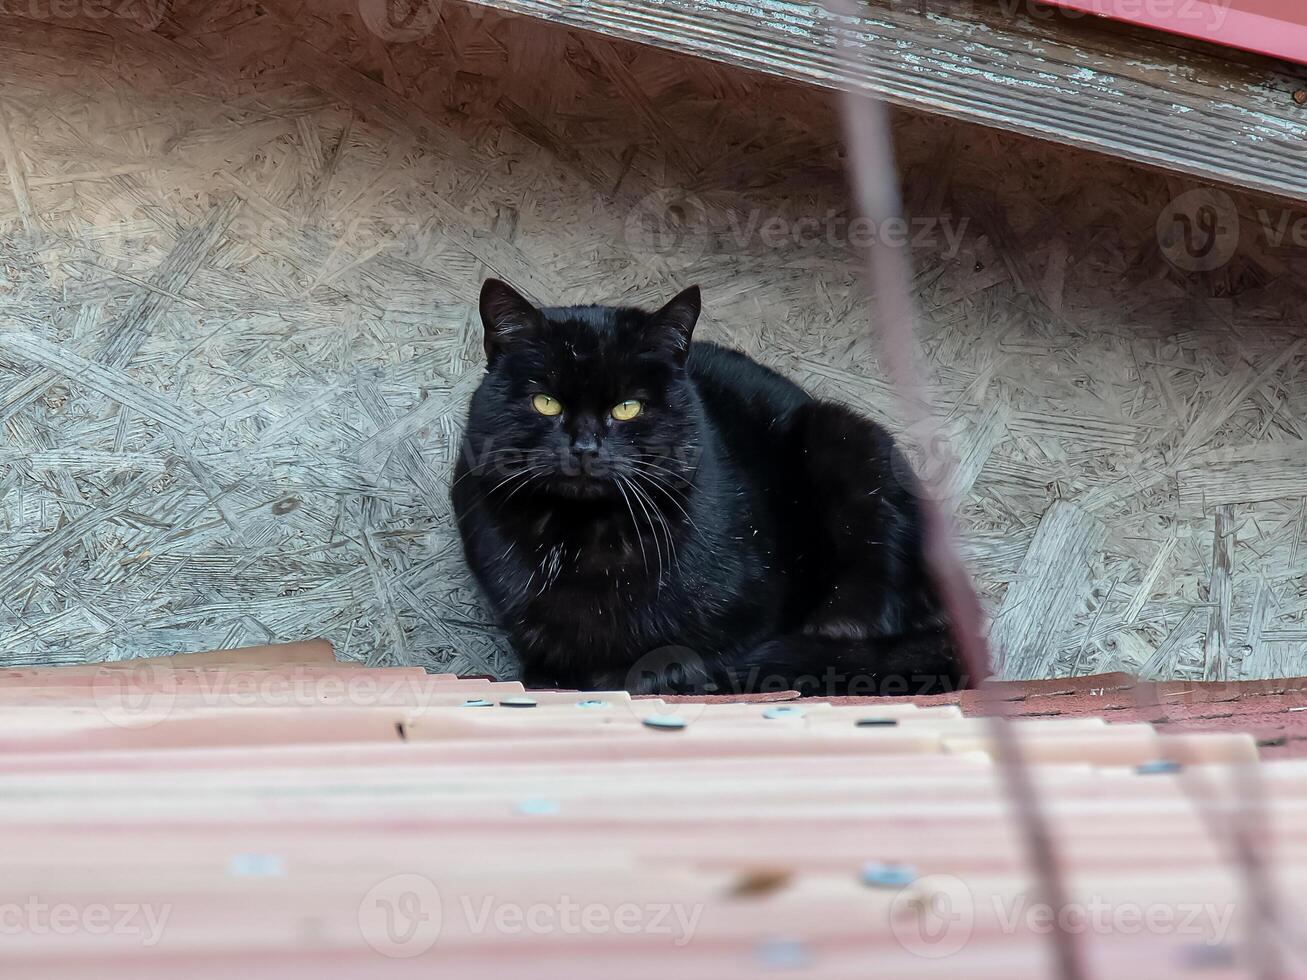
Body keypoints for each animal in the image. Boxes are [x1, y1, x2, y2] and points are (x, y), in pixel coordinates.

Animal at [449, 278, 961, 700]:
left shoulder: (754, 617)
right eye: (546, 402)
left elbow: (689, 656)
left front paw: (649, 675)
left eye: (628, 407)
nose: (585, 447)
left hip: (848, 441)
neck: (583, 537)